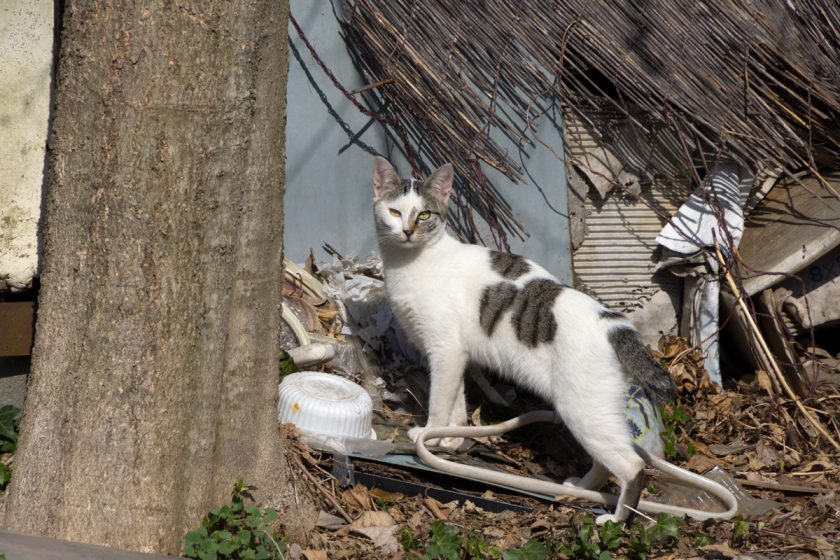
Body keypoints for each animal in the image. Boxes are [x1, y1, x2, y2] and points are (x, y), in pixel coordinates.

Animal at [372, 155, 676, 524]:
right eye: (395, 211)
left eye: (425, 215)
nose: (407, 230)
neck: (411, 262)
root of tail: (613, 324)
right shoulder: (455, 355)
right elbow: (457, 400)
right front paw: (449, 439)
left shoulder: (443, 351)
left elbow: (440, 401)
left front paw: (428, 435)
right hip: (595, 411)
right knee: (606, 461)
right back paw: (580, 487)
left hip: (580, 409)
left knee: (631, 465)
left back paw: (616, 520)